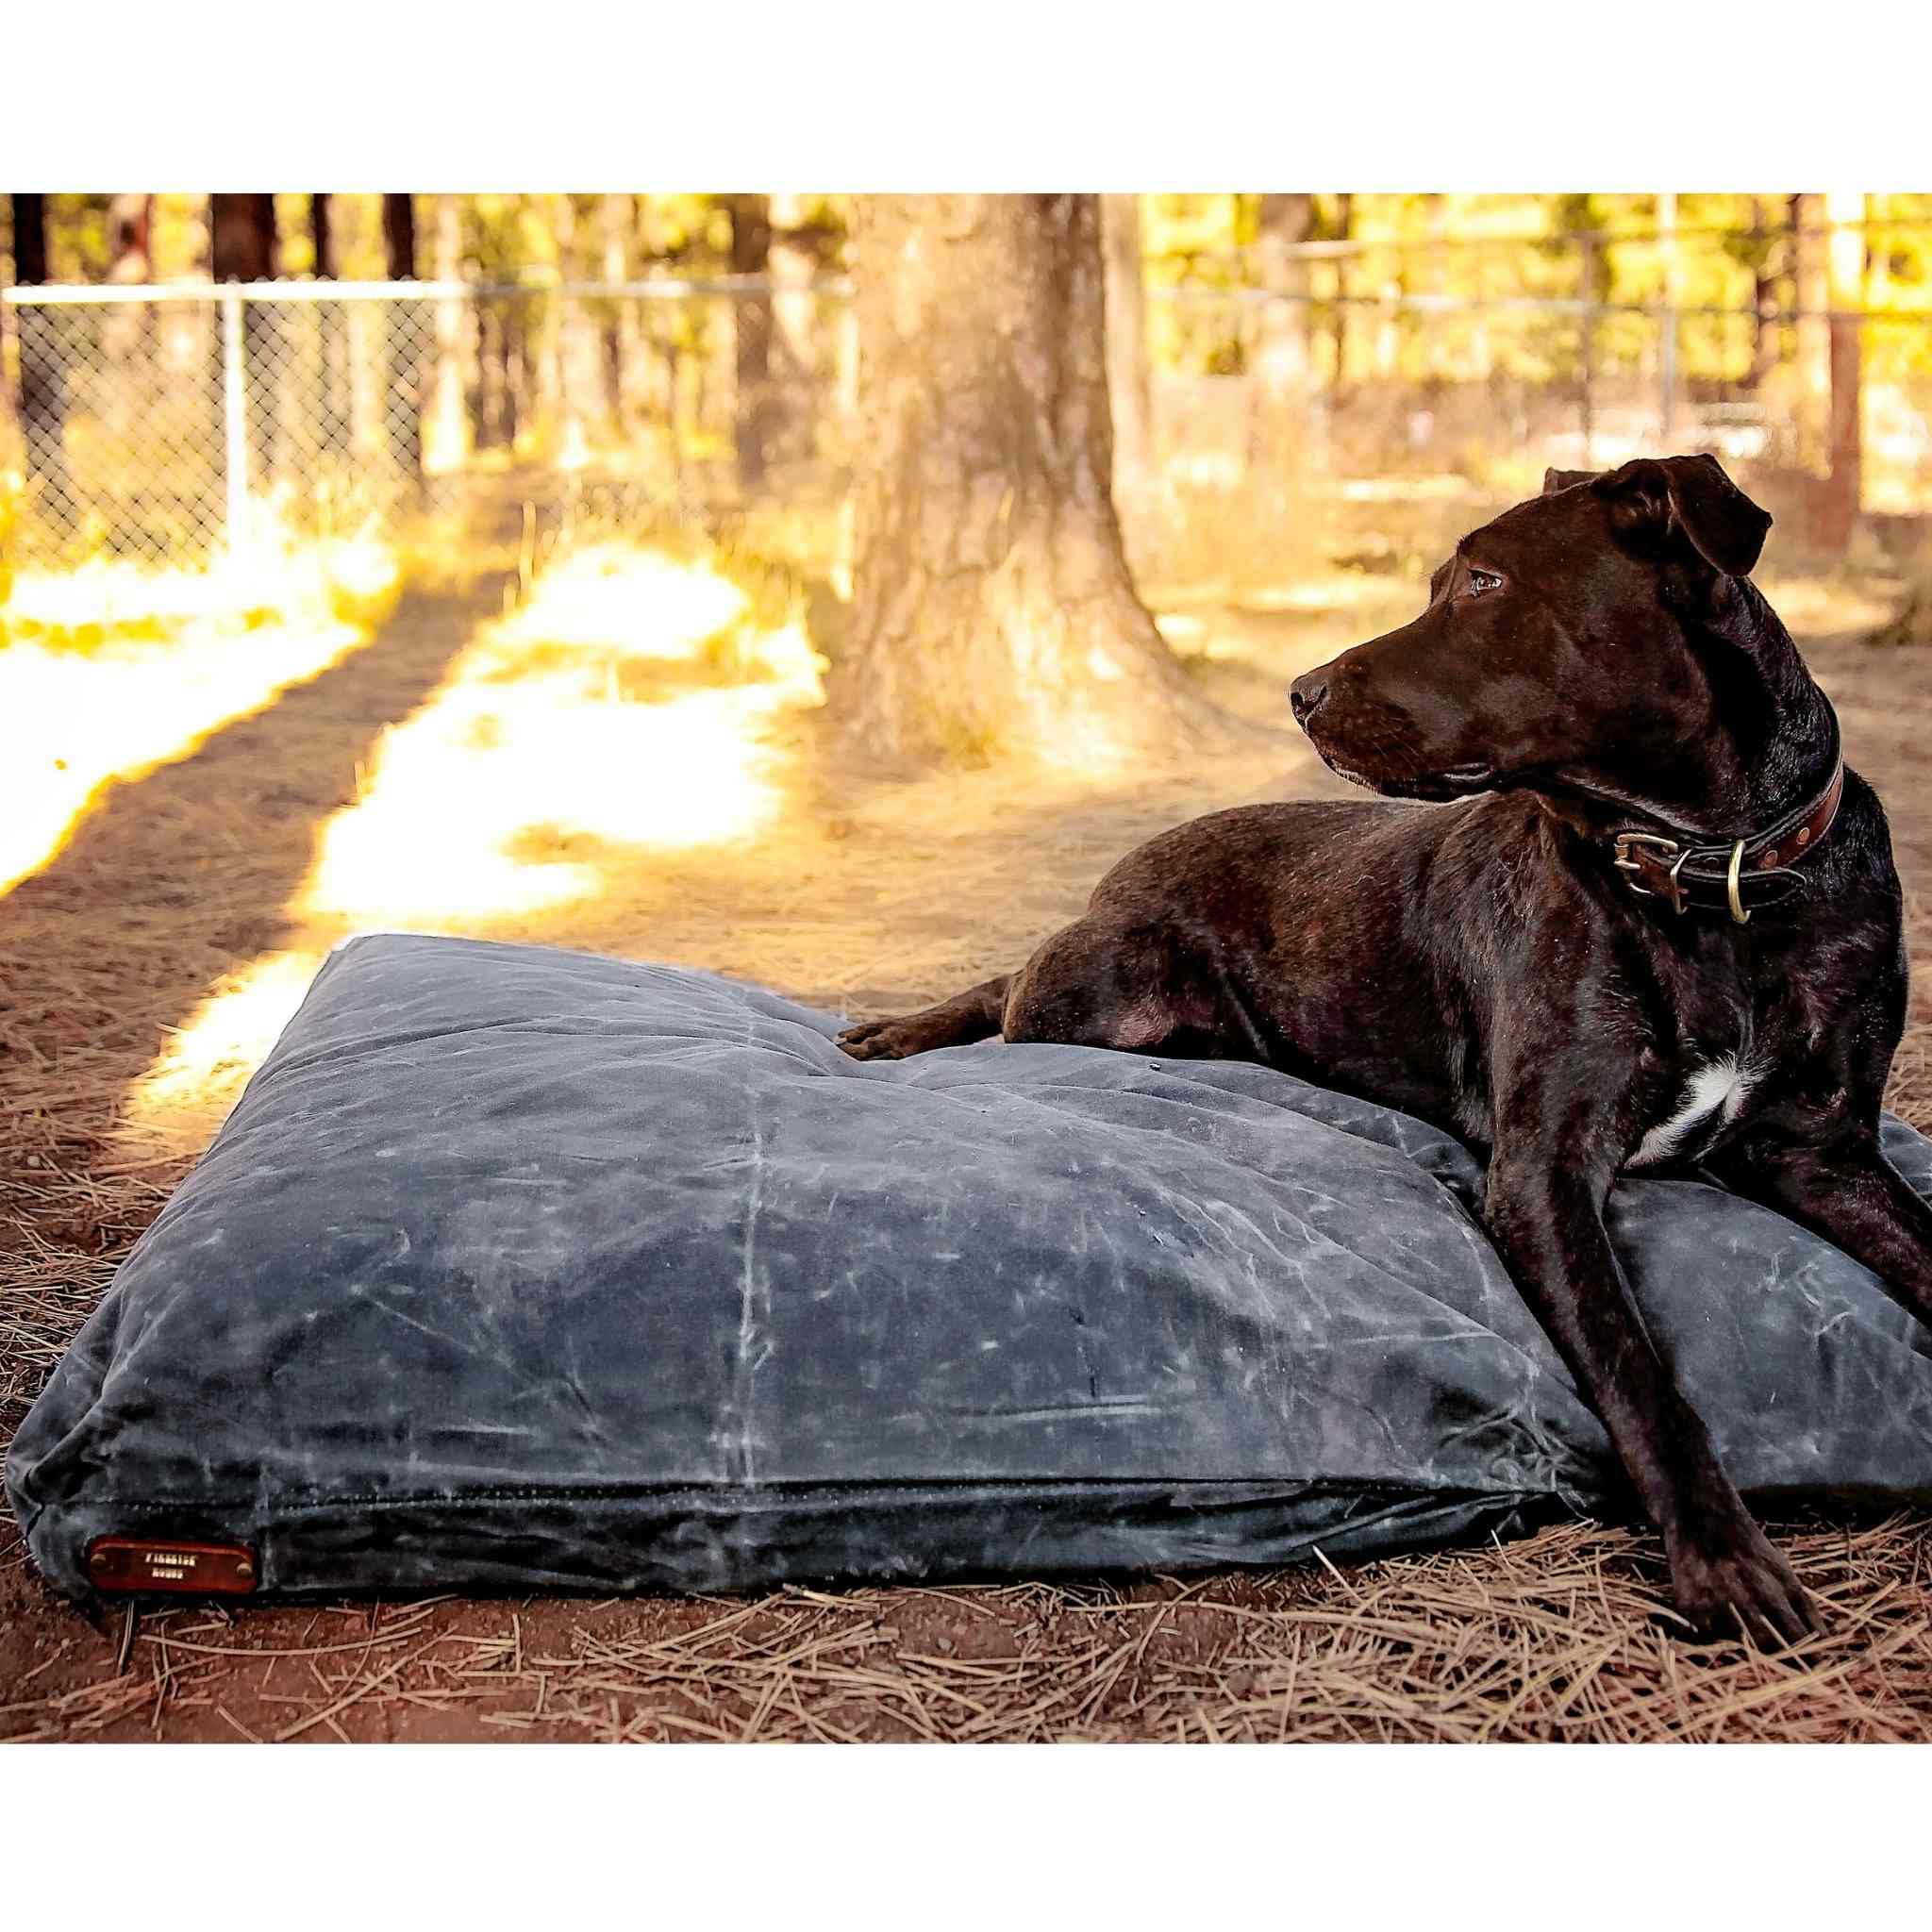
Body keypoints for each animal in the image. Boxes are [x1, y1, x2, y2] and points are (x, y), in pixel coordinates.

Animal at [841, 456, 1932, 1645]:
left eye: (1484, 581)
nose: (1299, 691)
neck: (1713, 876)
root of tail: (1123, 865)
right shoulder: (1543, 1171)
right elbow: (1638, 1364)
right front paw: (1719, 1552)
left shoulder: (1823, 1150)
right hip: (1099, 984)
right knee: (1006, 987)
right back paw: (893, 1030)